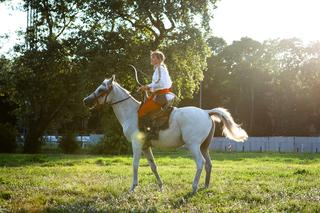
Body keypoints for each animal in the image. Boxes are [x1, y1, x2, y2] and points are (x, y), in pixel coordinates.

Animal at [83, 76, 248, 193]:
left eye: (101, 89)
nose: (86, 101)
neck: (132, 113)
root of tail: (206, 112)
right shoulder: (145, 147)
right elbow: (153, 166)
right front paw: (161, 186)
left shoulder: (136, 145)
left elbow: (135, 164)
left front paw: (133, 187)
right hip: (203, 147)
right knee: (208, 164)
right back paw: (205, 186)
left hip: (193, 145)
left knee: (200, 163)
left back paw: (194, 187)